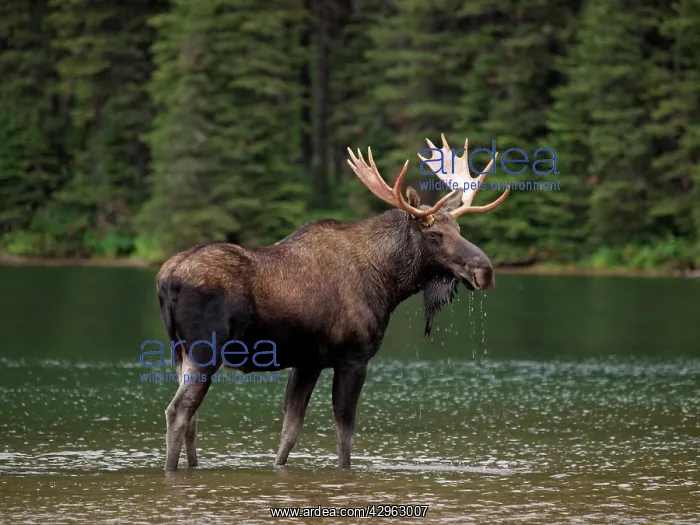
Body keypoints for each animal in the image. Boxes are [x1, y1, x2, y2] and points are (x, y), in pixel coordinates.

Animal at [155, 134, 510, 471]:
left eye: (459, 228)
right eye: (435, 235)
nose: (485, 271)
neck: (388, 283)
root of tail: (165, 279)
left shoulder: (307, 362)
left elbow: (289, 432)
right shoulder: (354, 357)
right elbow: (345, 434)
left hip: (179, 352)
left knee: (192, 417)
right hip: (205, 350)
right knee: (178, 411)